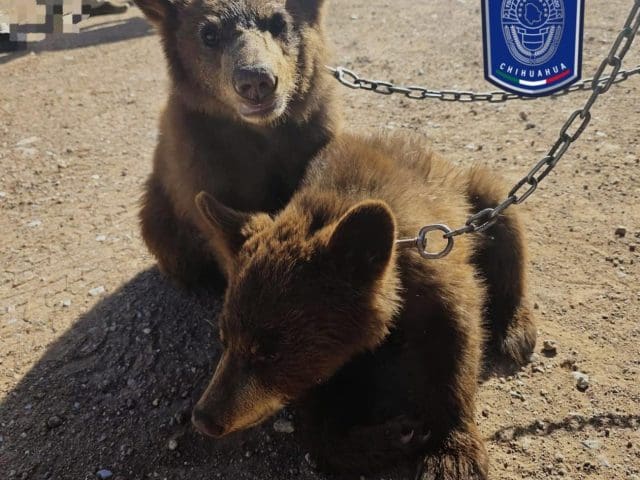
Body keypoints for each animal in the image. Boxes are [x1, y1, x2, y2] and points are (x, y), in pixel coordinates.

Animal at [134, 0, 340, 288]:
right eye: (208, 34)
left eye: (279, 22)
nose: (256, 81)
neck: (263, 131)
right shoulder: (203, 167)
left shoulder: (315, 136)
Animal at [190, 131, 537, 479]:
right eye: (225, 338)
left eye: (269, 352)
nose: (205, 418)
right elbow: (322, 419)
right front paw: (397, 434)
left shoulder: (435, 275)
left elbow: (454, 342)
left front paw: (451, 454)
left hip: (475, 202)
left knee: (502, 216)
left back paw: (517, 330)